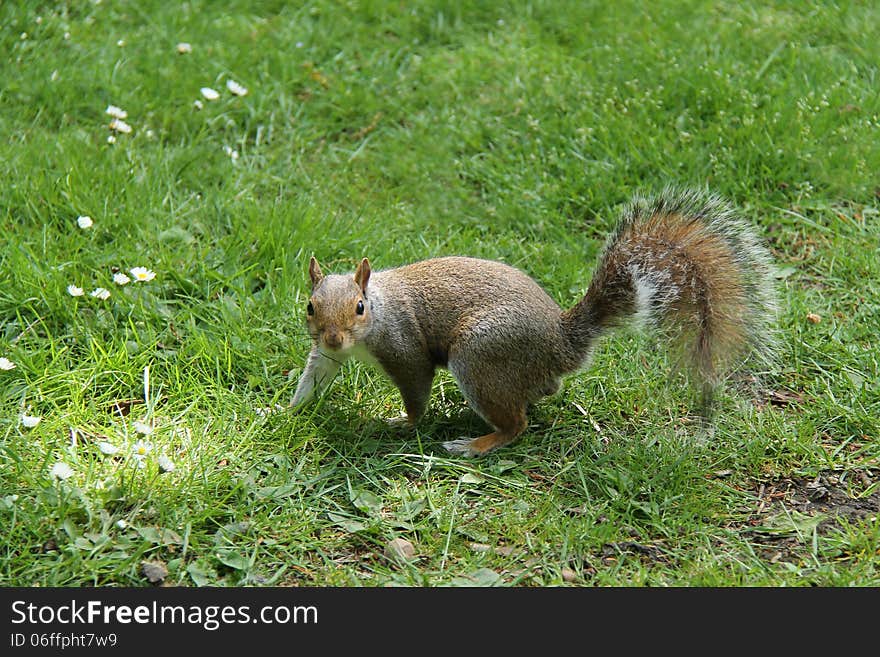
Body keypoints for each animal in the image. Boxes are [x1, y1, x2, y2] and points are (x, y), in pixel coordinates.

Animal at [290, 190, 776, 454]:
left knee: (516, 425)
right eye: (310, 306)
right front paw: (288, 409)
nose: (333, 338)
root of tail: (561, 343)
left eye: (359, 307)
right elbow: (314, 378)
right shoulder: (325, 356)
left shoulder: (404, 349)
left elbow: (415, 391)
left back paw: (474, 445)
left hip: (480, 356)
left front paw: (401, 424)